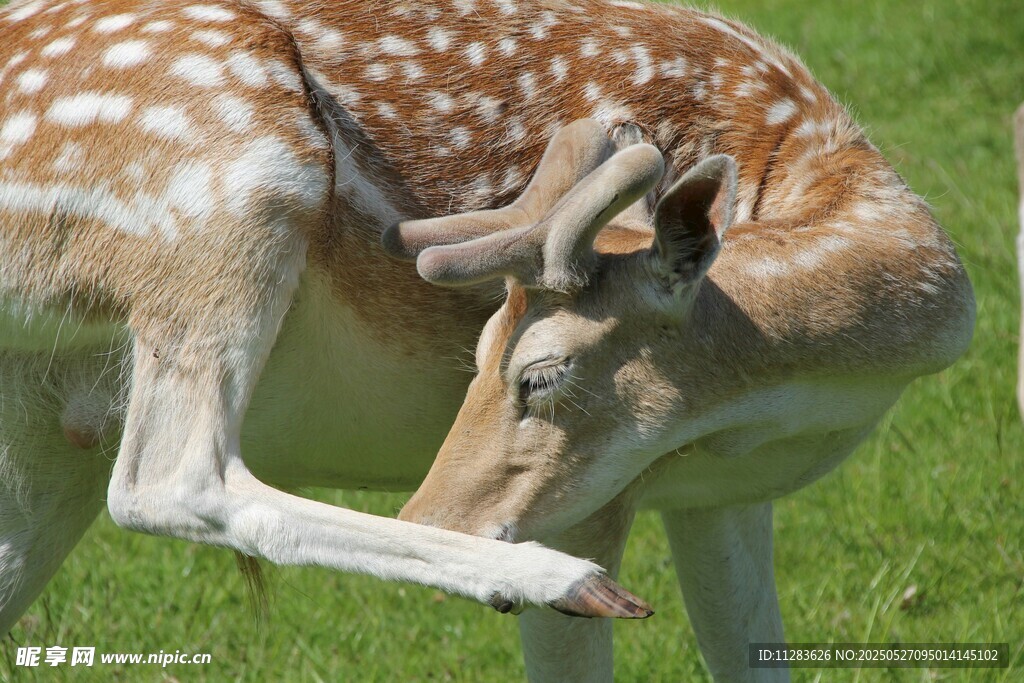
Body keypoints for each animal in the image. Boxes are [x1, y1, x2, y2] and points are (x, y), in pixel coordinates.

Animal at [0, 0, 972, 681]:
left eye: (537, 373)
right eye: (477, 350)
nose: (433, 512)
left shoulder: (726, 496)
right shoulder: (590, 495)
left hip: (43, 428)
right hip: (226, 181)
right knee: (169, 476)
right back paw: (555, 577)